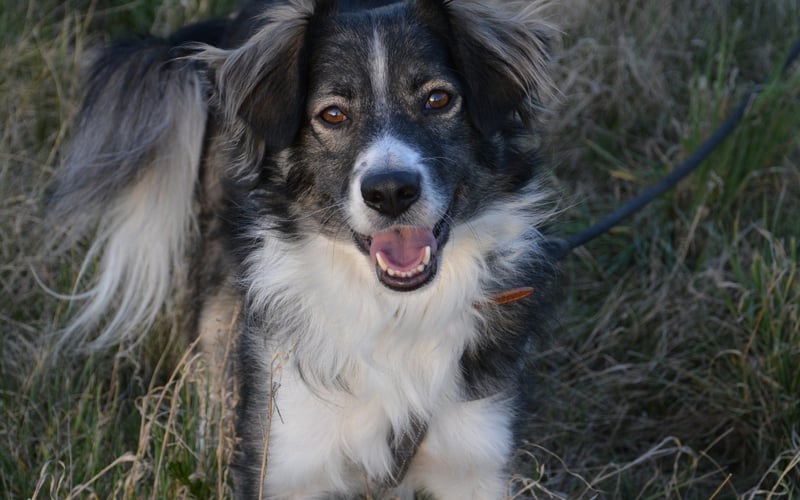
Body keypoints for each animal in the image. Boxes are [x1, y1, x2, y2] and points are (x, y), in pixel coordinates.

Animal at [48, 0, 556, 496]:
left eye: (438, 99)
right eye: (332, 114)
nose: (391, 192)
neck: (394, 312)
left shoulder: (474, 459)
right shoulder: (287, 455)